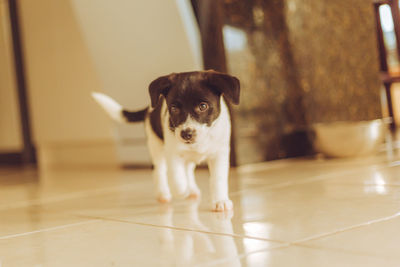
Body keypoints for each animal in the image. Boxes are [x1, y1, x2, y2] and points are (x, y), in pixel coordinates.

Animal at [92, 70, 239, 211]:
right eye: (174, 108)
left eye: (203, 106)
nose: (186, 134)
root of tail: (148, 109)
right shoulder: (173, 153)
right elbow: (176, 178)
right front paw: (183, 191)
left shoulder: (219, 154)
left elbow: (218, 179)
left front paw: (220, 201)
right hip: (155, 146)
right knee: (159, 170)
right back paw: (164, 194)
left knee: (187, 169)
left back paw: (191, 190)